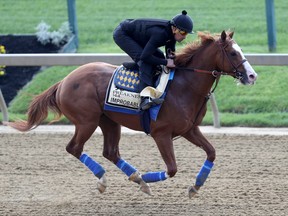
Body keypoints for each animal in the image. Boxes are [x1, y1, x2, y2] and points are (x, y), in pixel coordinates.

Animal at [7, 30, 258, 197]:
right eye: (233, 53)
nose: (252, 76)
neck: (184, 86)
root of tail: (64, 81)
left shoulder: (189, 129)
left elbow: (212, 153)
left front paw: (195, 187)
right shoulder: (161, 133)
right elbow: (172, 169)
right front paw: (145, 178)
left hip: (109, 121)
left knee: (110, 152)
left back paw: (134, 177)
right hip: (86, 121)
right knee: (74, 148)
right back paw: (110, 179)